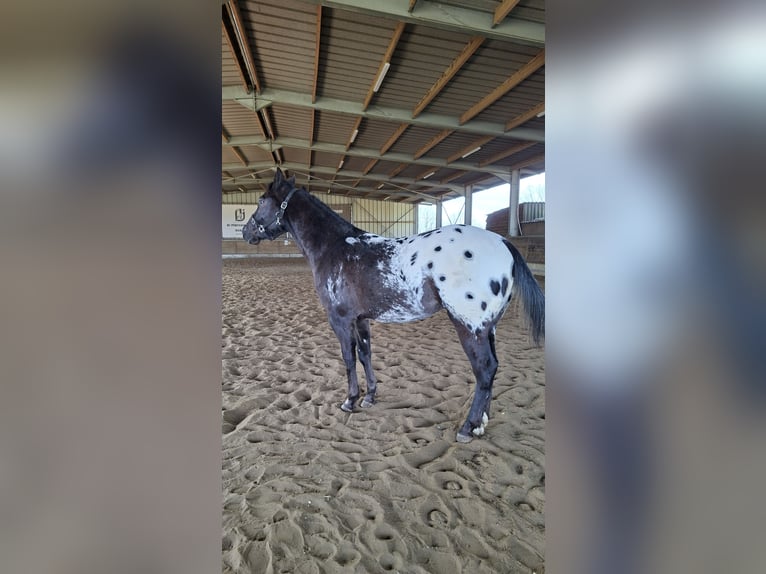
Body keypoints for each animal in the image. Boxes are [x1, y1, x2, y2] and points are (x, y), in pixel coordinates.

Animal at [242, 168, 544, 443]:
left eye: (261, 200)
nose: (246, 231)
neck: (335, 247)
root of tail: (503, 243)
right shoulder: (361, 319)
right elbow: (365, 354)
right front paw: (369, 397)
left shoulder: (340, 319)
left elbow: (348, 358)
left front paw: (350, 400)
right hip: (489, 327)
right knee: (493, 369)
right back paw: (481, 425)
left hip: (470, 327)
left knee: (484, 369)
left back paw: (468, 428)